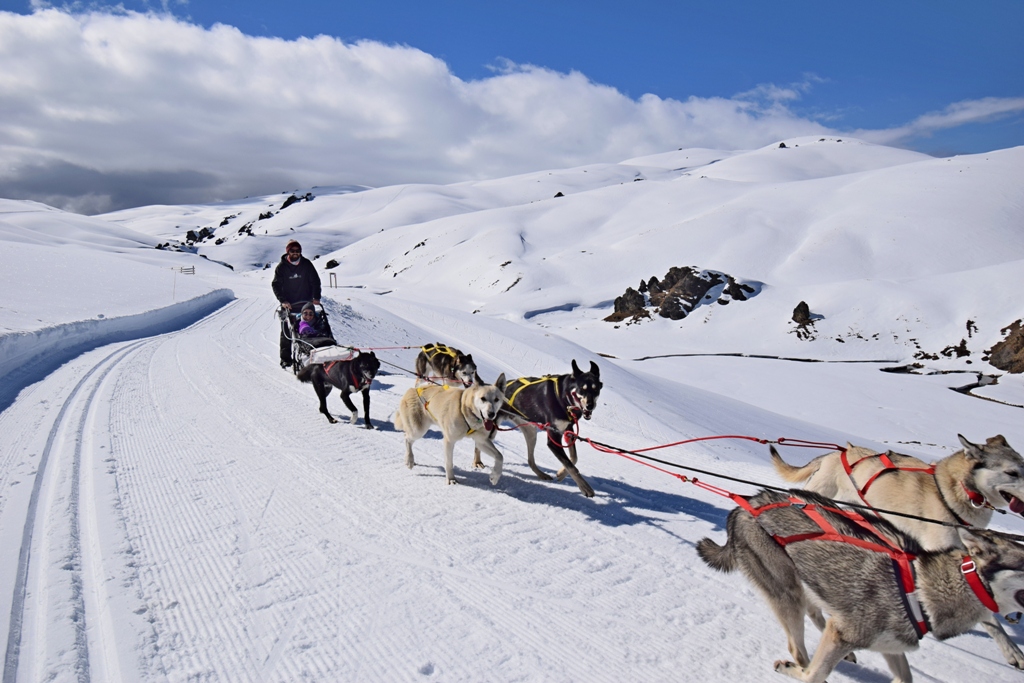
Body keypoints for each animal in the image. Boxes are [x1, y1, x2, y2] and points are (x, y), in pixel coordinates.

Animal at [475, 358, 602, 497]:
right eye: (582, 388)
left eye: (595, 389)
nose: (590, 406)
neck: (563, 398)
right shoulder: (553, 438)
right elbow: (571, 465)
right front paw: (585, 487)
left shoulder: (568, 430)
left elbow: (573, 458)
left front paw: (561, 473)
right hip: (492, 429)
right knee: (478, 443)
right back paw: (477, 462)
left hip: (531, 432)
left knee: (530, 460)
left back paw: (541, 474)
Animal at [700, 491, 1024, 683]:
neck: (919, 591)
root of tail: (743, 507)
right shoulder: (846, 633)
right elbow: (812, 674)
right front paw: (798, 671)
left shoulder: (890, 646)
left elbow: (905, 678)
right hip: (787, 593)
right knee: (798, 644)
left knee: (817, 613)